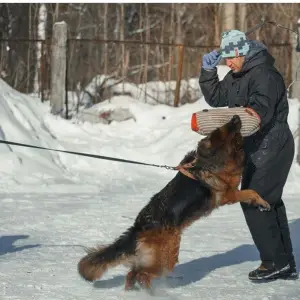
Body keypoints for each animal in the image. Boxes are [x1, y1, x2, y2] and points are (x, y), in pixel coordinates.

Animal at [77, 115, 270, 290]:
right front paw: (262, 202)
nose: (236, 115)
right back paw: (151, 292)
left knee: (133, 273)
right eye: (226, 128)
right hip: (167, 256)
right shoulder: (229, 194)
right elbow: (250, 191)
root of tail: (138, 227)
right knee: (142, 274)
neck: (210, 159)